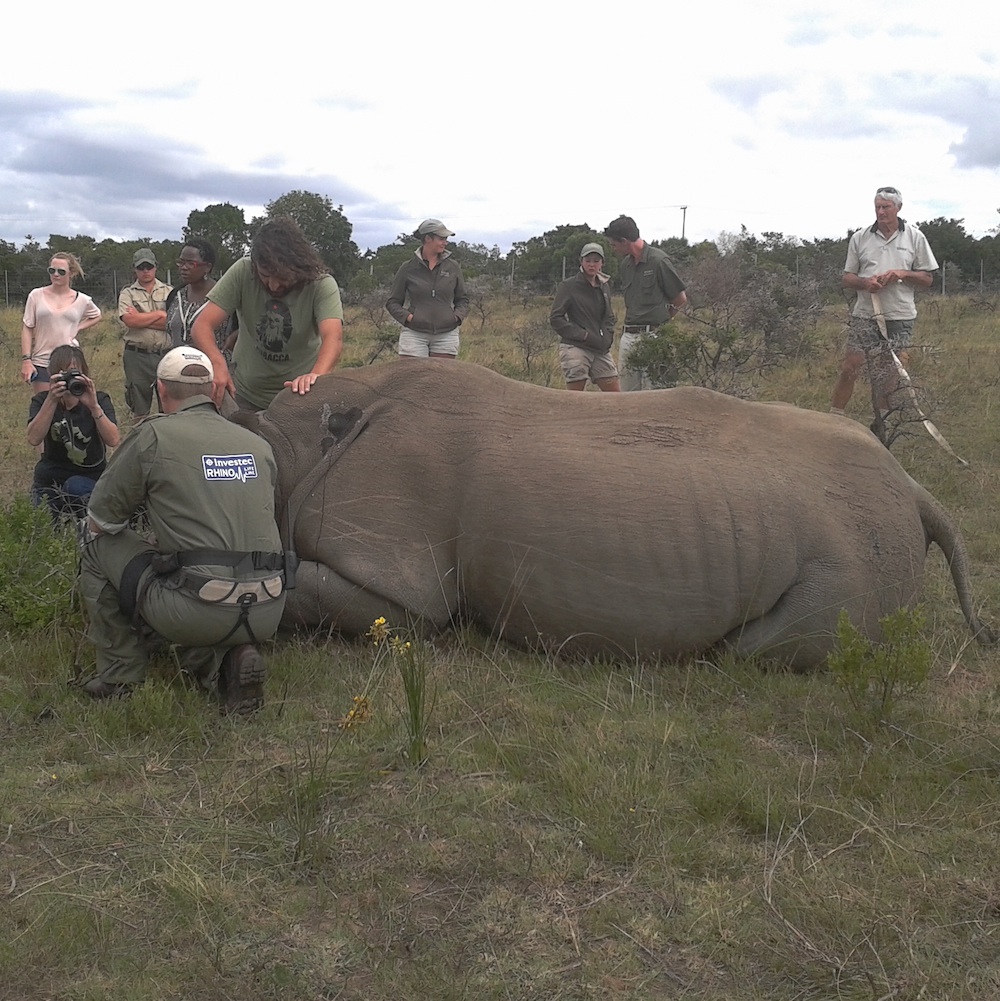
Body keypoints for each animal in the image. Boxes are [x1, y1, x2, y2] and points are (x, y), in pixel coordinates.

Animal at [240, 356, 992, 668]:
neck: (291, 446)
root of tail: (914, 490)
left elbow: (311, 592)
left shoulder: (397, 572)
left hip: (853, 542)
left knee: (761, 650)